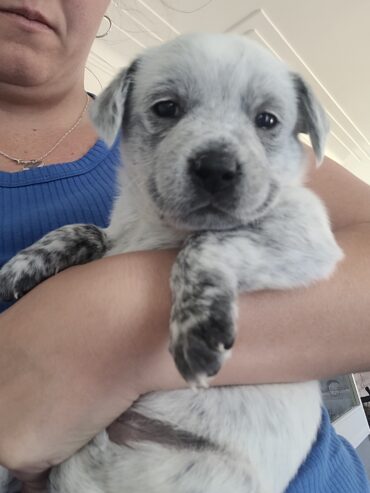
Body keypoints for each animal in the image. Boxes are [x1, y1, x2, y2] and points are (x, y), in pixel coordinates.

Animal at [0, 33, 342, 492]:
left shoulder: (304, 236)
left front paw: (198, 328)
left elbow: (202, 244)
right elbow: (84, 229)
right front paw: (24, 265)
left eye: (267, 120)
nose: (216, 169)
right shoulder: (115, 233)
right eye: (166, 108)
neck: (153, 224)